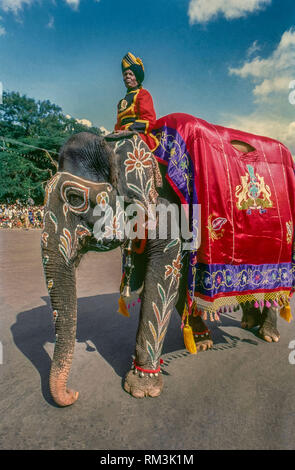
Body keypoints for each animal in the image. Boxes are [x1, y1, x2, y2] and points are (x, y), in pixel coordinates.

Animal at [41, 112, 294, 406]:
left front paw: (141, 388)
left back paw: (269, 335)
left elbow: (164, 275)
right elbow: (178, 279)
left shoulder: (168, 211)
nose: (73, 394)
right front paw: (202, 342)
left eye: (74, 198)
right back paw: (248, 323)